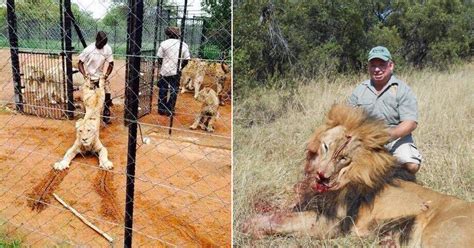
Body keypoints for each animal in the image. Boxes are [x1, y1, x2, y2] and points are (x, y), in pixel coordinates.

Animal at [244, 103, 474, 247]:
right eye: (326, 147)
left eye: (343, 158)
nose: (322, 175)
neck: (347, 176)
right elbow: (284, 211)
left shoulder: (330, 223)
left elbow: (283, 221)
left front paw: (251, 225)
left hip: (440, 235)